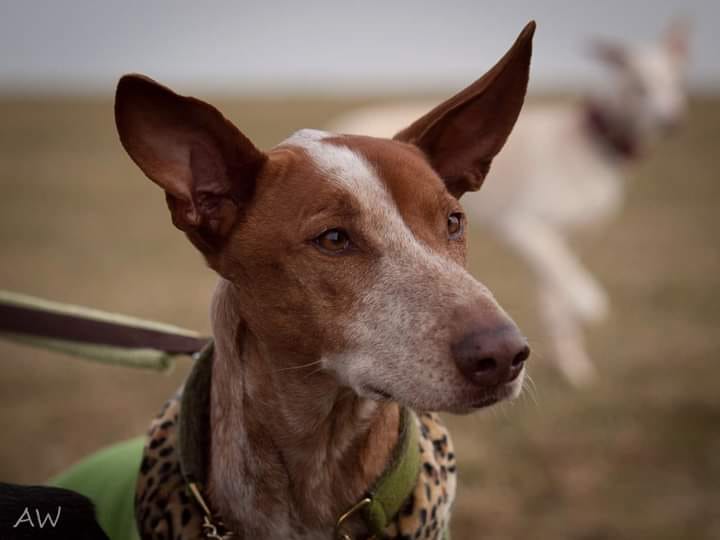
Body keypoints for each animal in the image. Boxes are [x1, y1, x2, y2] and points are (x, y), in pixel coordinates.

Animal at [328, 20, 692, 384]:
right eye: (639, 86)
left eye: (675, 81)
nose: (671, 121)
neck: (587, 145)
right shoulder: (523, 226)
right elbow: (575, 291)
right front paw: (588, 307)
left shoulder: (570, 241)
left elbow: (557, 301)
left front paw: (571, 362)